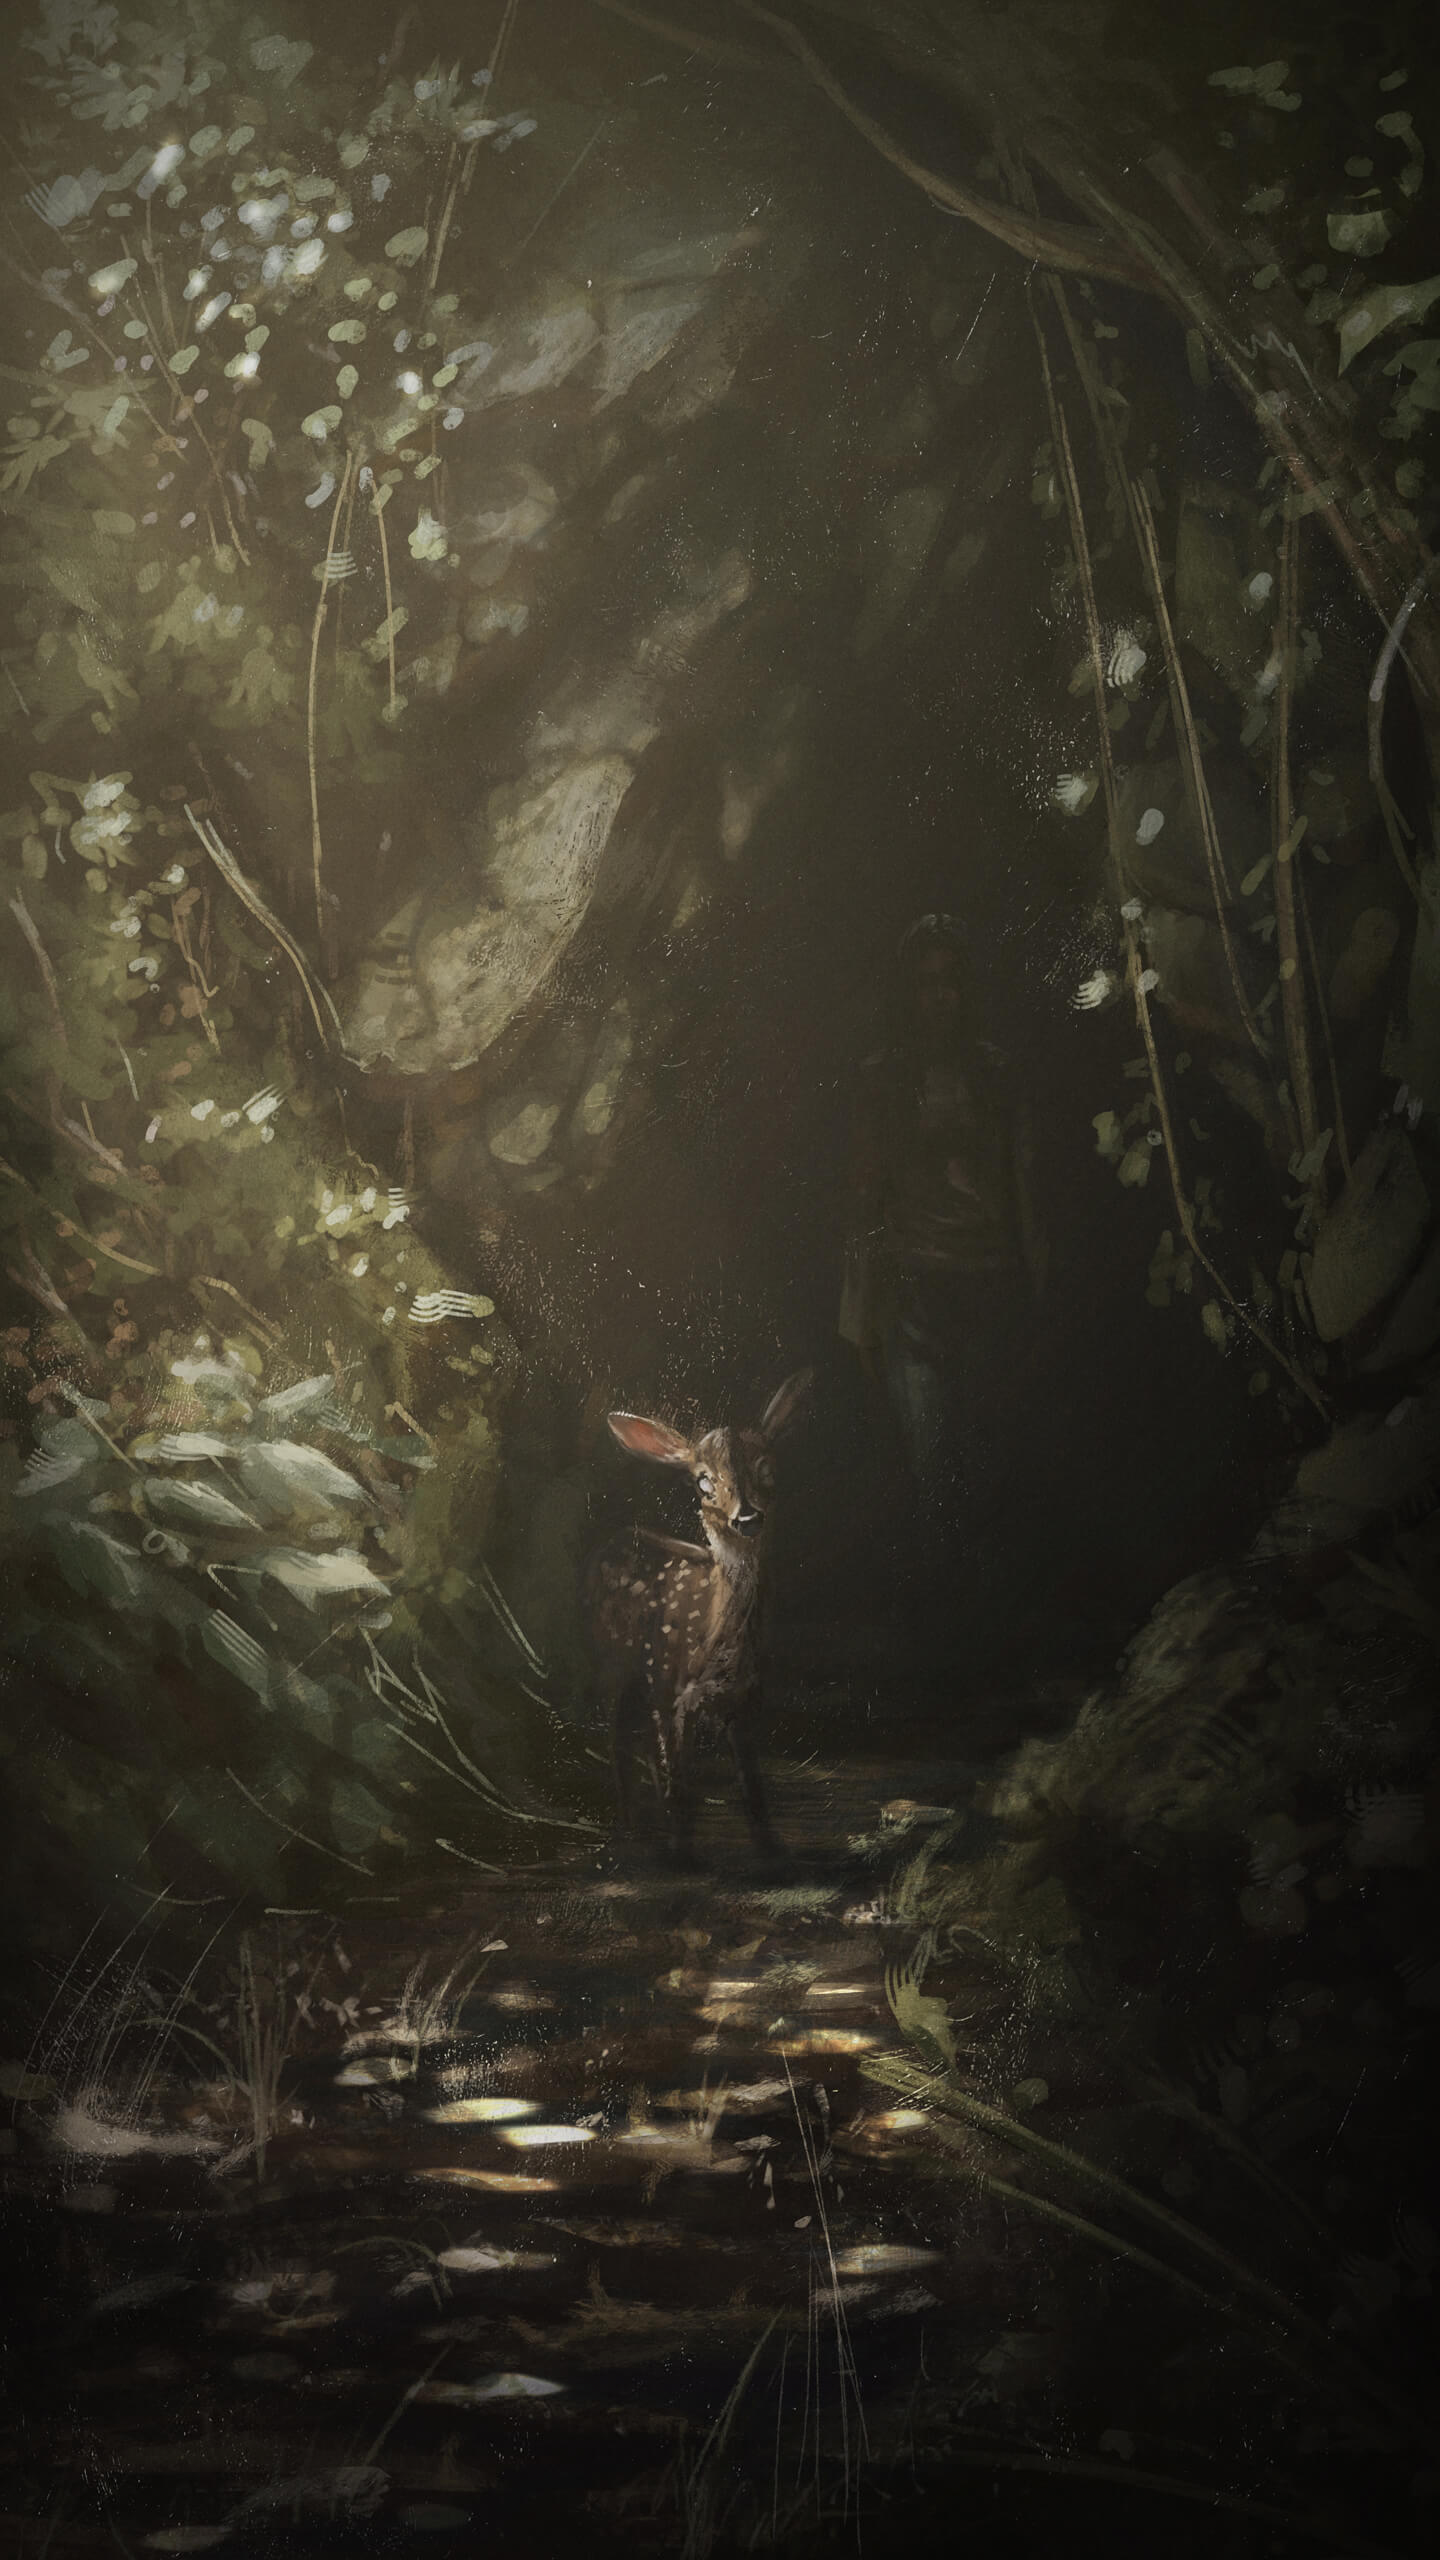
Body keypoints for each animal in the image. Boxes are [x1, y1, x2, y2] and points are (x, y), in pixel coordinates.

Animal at [585, 1371, 812, 1865]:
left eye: (767, 1468)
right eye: (703, 1483)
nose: (747, 1517)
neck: (715, 1646)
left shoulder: (744, 1700)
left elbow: (752, 1788)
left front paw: (772, 1849)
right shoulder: (672, 1688)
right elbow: (682, 1783)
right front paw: (681, 1854)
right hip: (613, 1662)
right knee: (618, 1736)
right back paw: (631, 1824)